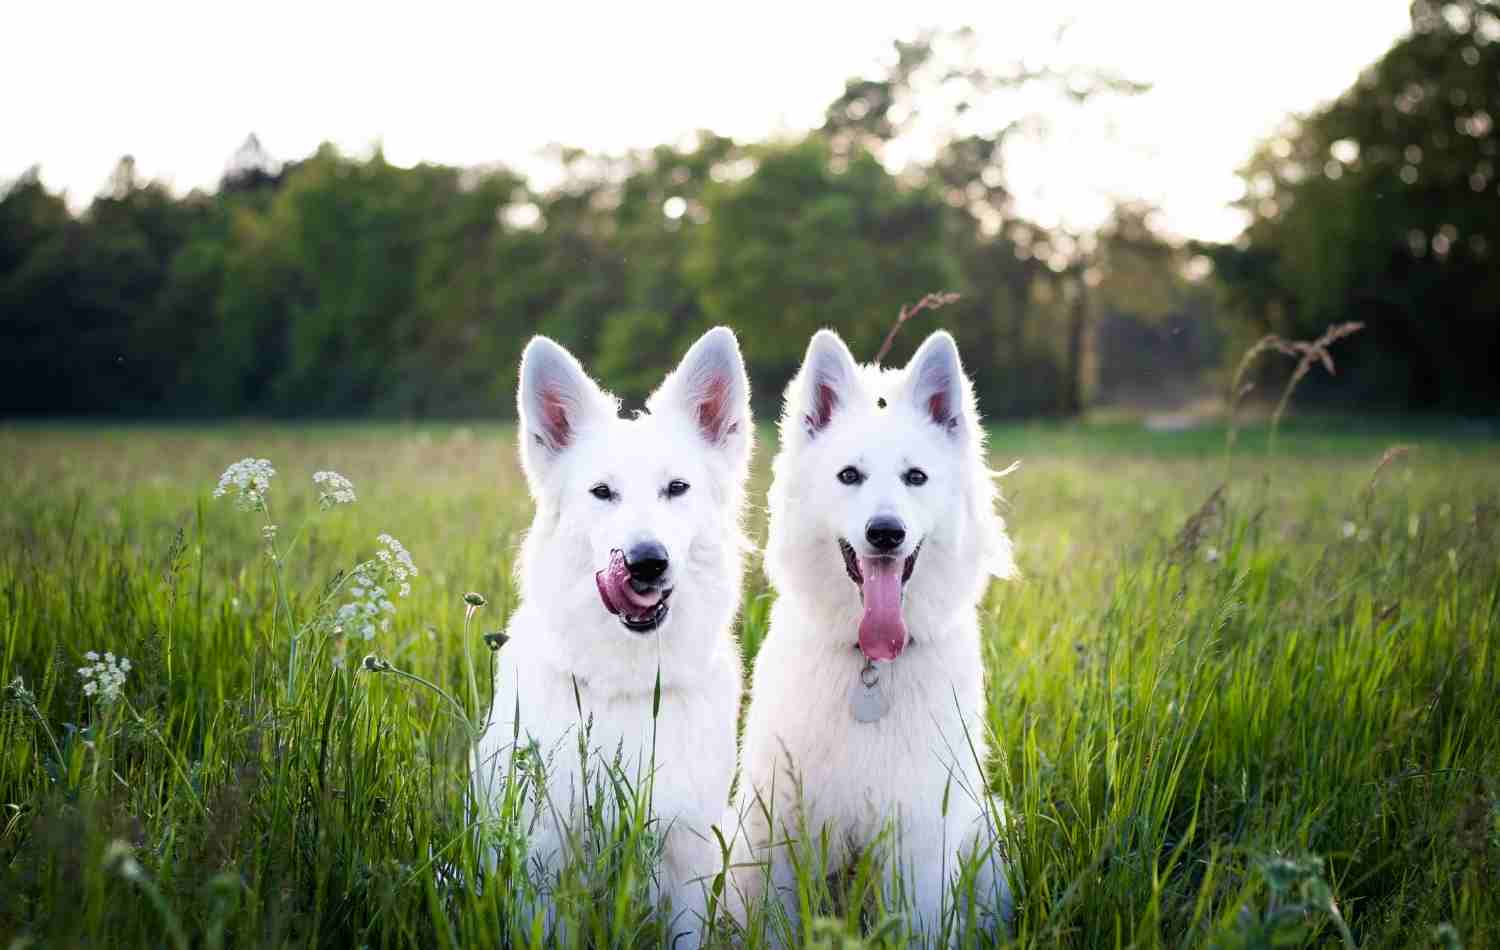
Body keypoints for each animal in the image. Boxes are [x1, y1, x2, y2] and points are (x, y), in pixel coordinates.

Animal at [729, 327, 1014, 942]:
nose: (886, 533)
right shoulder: (781, 830)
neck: (871, 669)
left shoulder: (919, 835)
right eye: (849, 476)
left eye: (916, 477)